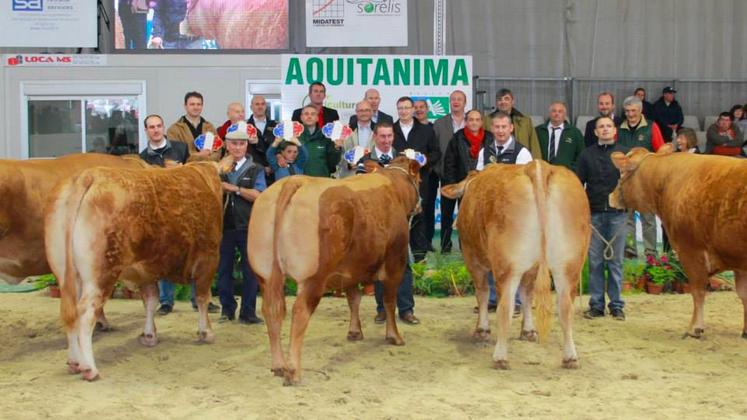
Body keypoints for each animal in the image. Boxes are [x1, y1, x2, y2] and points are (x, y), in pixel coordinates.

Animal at [45, 161, 226, 380]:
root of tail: (87, 176)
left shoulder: (146, 270)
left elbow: (150, 300)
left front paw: (149, 336)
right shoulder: (208, 259)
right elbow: (202, 298)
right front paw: (206, 332)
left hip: (66, 274)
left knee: (69, 311)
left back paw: (74, 362)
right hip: (100, 275)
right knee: (86, 312)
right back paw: (89, 368)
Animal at [248, 157, 424, 384]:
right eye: (419, 178)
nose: (420, 206)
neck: (392, 186)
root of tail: (293, 181)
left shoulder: (350, 268)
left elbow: (353, 299)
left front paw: (355, 332)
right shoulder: (396, 262)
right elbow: (388, 301)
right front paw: (394, 336)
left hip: (265, 273)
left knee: (272, 311)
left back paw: (279, 365)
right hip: (313, 276)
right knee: (300, 312)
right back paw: (293, 371)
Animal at [444, 160, 592, 368]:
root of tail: (537, 165)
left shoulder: (472, 257)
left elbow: (482, 293)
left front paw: (482, 330)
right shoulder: (532, 268)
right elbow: (527, 295)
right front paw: (528, 331)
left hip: (507, 266)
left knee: (505, 307)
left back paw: (500, 357)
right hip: (569, 265)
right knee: (565, 308)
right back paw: (570, 358)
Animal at [612, 146, 747, 340]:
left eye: (622, 172)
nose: (611, 196)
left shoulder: (690, 251)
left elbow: (698, 291)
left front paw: (694, 328)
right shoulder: (737, 259)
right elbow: (744, 295)